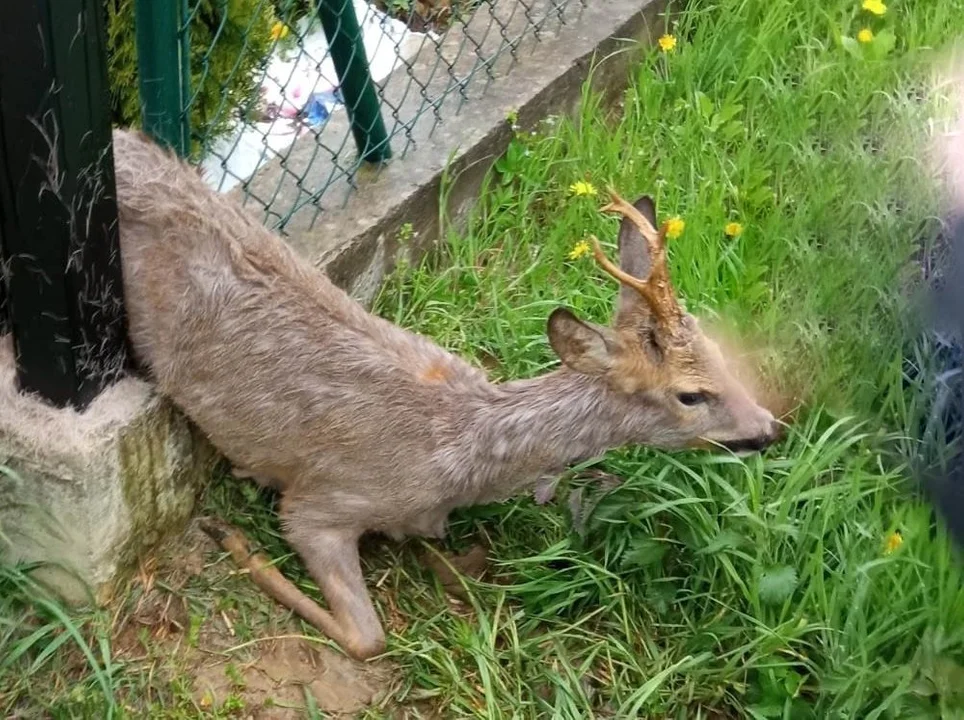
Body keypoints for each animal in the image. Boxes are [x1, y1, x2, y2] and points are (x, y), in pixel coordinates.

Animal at [113, 128, 780, 660]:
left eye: (721, 354)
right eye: (690, 395)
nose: (770, 428)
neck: (458, 452)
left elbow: (464, 561)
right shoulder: (322, 500)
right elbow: (368, 638)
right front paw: (232, 537)